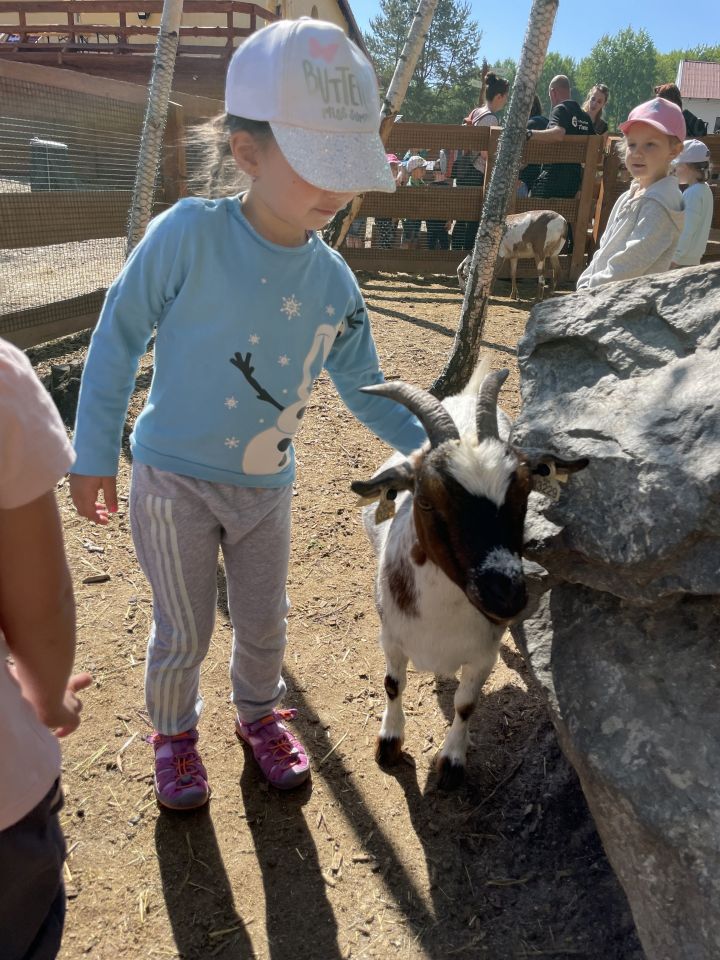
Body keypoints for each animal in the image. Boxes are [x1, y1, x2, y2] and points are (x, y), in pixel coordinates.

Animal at [352, 366, 588, 788]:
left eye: (525, 493)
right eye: (426, 501)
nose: (506, 595)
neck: (438, 623)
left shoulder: (482, 657)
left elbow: (465, 704)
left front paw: (452, 763)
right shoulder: (391, 638)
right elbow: (393, 685)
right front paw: (390, 744)